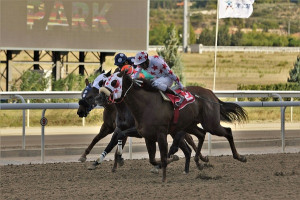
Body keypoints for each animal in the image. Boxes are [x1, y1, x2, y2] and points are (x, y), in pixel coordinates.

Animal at [97, 71, 247, 182]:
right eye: (105, 82)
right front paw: (119, 157)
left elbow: (164, 155)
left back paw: (240, 157)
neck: (146, 105)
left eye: (114, 82)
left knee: (227, 131)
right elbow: (148, 155)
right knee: (201, 134)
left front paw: (164, 175)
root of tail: (211, 93)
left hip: (211, 124)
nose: (101, 96)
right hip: (190, 125)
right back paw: (198, 162)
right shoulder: (146, 134)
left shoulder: (161, 134)